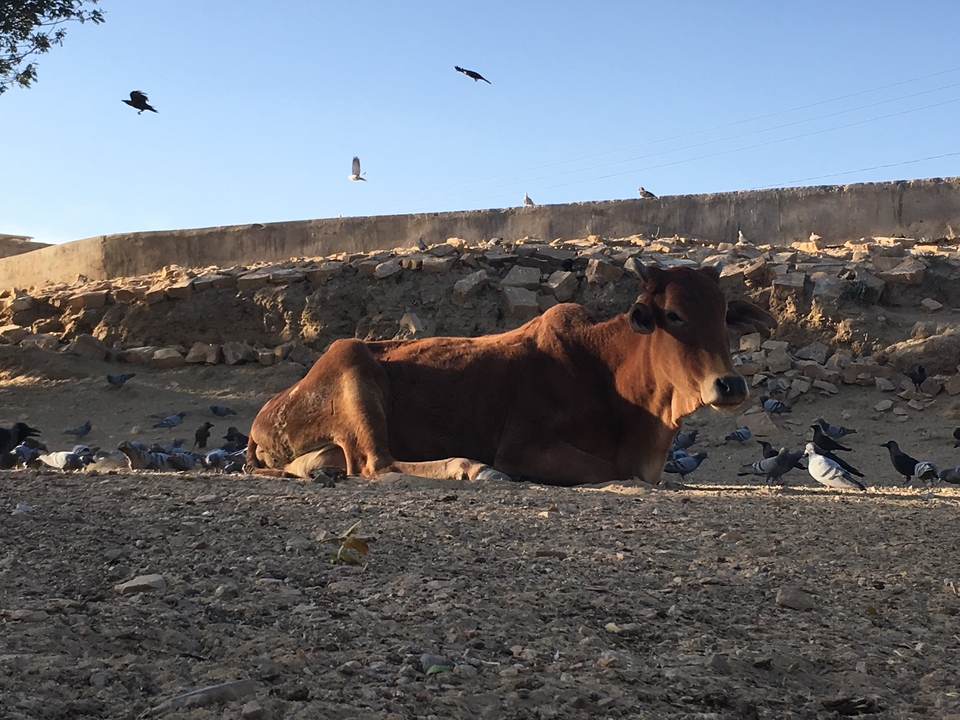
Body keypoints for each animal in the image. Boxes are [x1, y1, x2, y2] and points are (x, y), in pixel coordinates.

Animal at [246, 263, 776, 486]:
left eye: (724, 315)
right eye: (674, 315)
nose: (730, 385)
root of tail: (264, 414)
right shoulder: (524, 445)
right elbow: (614, 472)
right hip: (353, 366)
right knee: (378, 465)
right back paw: (471, 468)